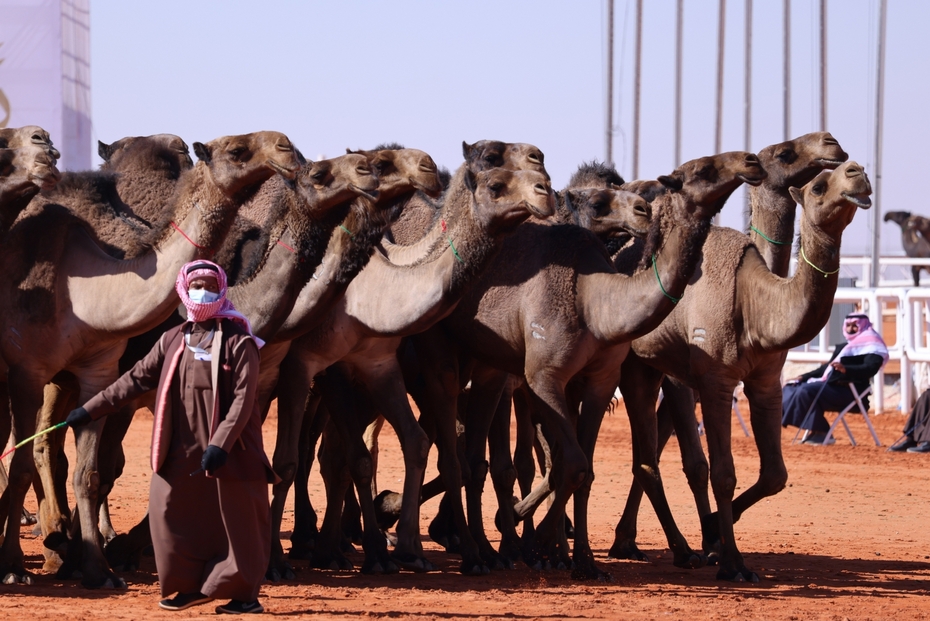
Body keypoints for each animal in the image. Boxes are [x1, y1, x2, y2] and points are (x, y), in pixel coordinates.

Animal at [0, 130, 300, 588]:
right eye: (236, 150)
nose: (287, 147)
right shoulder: (27, 372)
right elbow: (23, 464)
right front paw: (15, 566)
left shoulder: (98, 372)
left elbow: (89, 473)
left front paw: (98, 568)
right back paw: (49, 542)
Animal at [612, 159, 868, 580]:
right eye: (817, 187)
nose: (857, 170)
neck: (754, 303)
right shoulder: (716, 380)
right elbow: (722, 472)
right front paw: (732, 561)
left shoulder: (766, 382)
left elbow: (775, 474)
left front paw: (716, 532)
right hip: (634, 367)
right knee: (648, 458)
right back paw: (678, 549)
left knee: (649, 456)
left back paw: (639, 544)